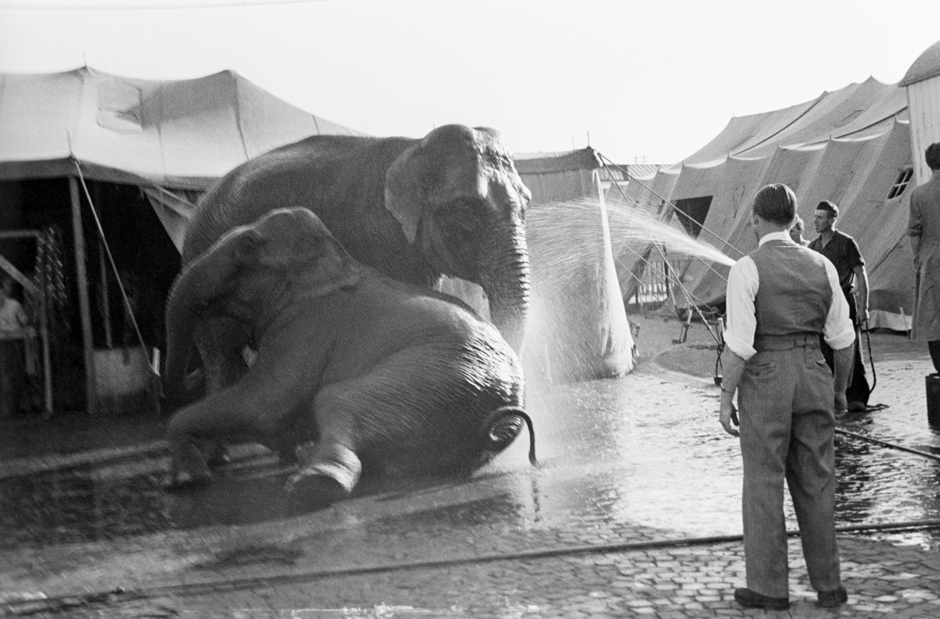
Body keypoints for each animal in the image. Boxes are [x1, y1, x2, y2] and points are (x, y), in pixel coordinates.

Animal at [162, 206, 536, 502]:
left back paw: (313, 483)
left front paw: (186, 481)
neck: (340, 259)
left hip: (437, 378)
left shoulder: (306, 329)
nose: (189, 376)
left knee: (334, 399)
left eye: (248, 246)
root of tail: (503, 412)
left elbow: (265, 405)